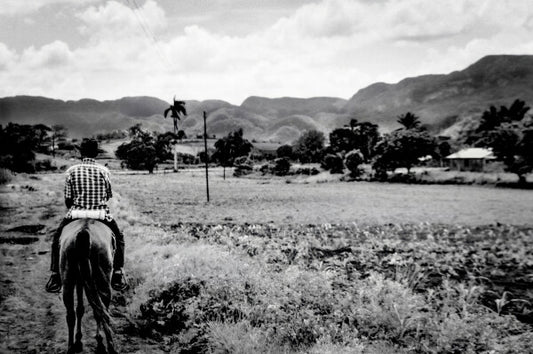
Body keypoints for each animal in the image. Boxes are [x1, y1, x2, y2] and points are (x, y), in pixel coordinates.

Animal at [60, 220, 118, 352]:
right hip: (103, 281)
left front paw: (79, 336)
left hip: (68, 280)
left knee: (71, 315)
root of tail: (84, 231)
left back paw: (71, 346)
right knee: (102, 312)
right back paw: (109, 345)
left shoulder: (80, 280)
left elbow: (80, 309)